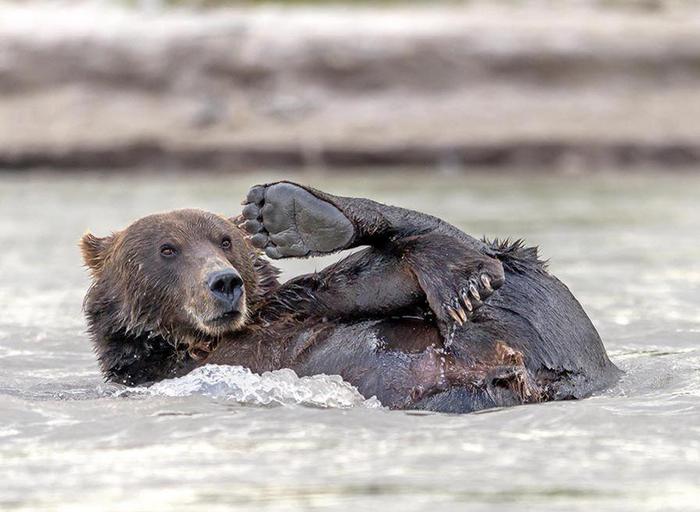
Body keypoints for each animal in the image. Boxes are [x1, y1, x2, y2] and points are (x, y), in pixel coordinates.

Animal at [82, 180, 616, 412]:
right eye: (167, 249)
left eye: (225, 241)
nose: (224, 282)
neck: (195, 342)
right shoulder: (158, 369)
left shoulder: (286, 309)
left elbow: (359, 287)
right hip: (530, 341)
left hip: (539, 322)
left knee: (502, 263)